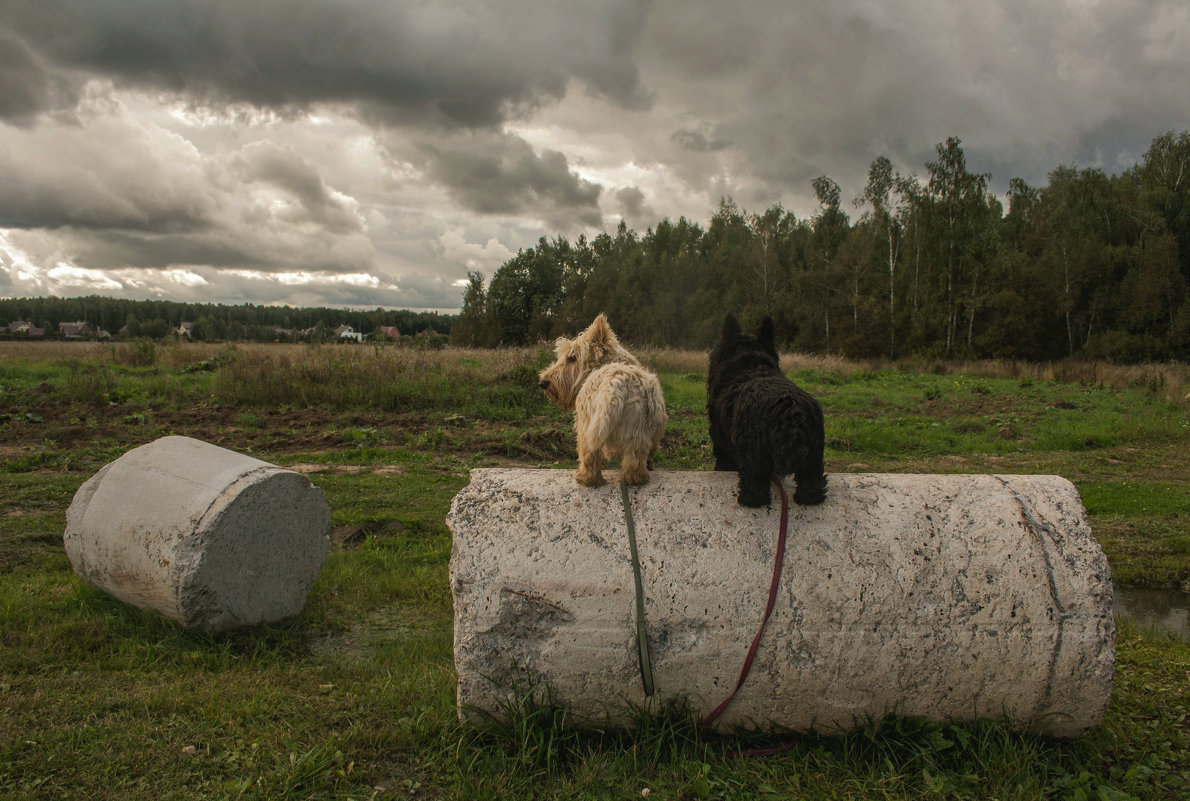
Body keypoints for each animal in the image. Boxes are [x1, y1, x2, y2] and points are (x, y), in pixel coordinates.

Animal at [542, 316, 671, 483]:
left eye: (572, 358)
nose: (543, 382)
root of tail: (617, 381)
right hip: (637, 434)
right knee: (634, 462)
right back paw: (634, 479)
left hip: (588, 428)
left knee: (589, 456)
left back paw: (586, 478)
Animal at [704, 314, 828, 507]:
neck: (751, 365)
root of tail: (789, 411)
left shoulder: (720, 440)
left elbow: (722, 463)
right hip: (813, 457)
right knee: (812, 484)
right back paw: (807, 498)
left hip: (754, 457)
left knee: (756, 487)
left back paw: (747, 499)